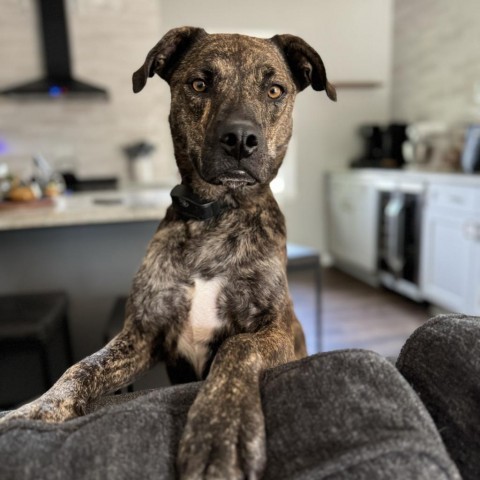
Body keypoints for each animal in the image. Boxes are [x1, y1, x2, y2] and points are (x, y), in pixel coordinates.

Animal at [1, 27, 336, 480]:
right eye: (199, 84)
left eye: (274, 90)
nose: (240, 140)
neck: (216, 216)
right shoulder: (142, 334)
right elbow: (81, 367)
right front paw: (38, 408)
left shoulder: (275, 328)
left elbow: (238, 348)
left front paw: (219, 429)